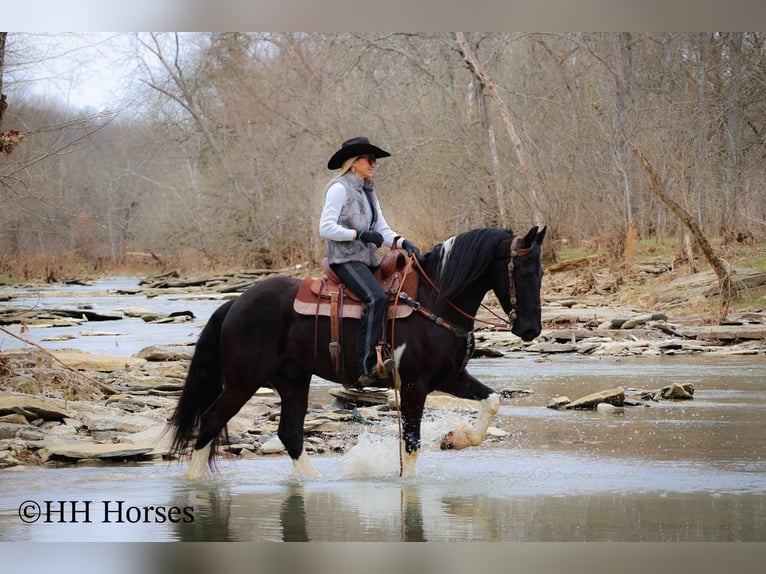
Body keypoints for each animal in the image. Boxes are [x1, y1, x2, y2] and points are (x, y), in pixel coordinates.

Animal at [168, 225, 546, 479]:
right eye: (524, 271)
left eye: (541, 272)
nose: (531, 330)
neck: (435, 301)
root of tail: (235, 303)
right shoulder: (414, 385)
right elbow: (411, 444)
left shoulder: (450, 377)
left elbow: (492, 400)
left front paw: (459, 437)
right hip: (242, 381)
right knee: (211, 420)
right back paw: (194, 484)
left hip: (292, 380)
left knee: (290, 433)